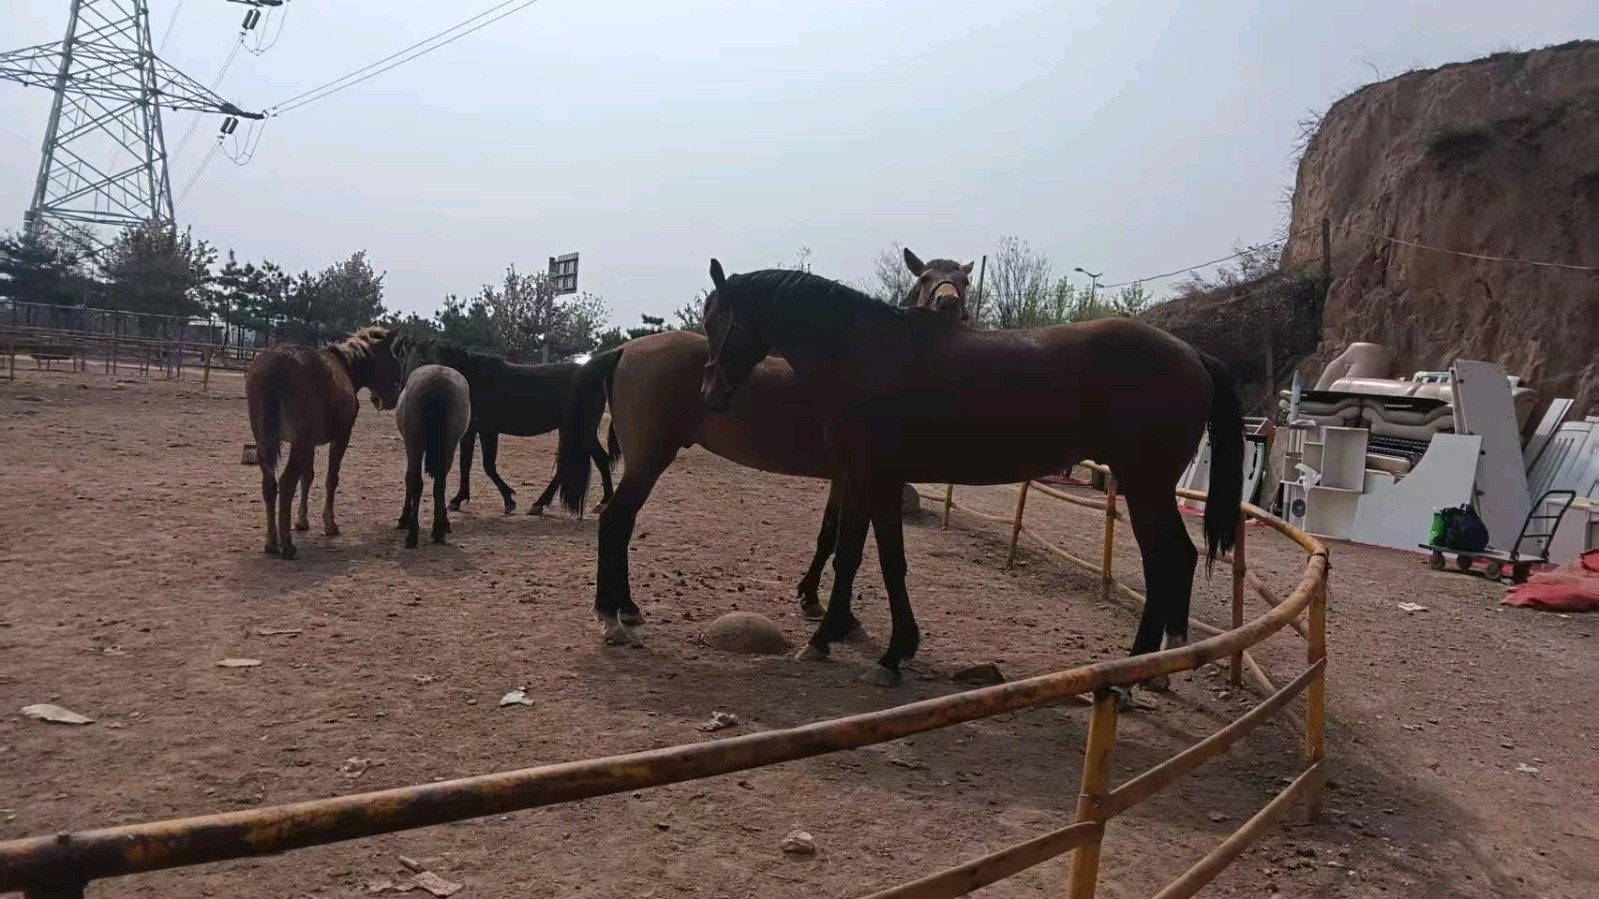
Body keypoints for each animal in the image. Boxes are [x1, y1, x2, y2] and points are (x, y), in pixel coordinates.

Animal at [244, 325, 404, 560]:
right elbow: (331, 479)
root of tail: (275, 366)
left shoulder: (309, 444)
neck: (345, 366)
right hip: (297, 444)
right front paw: (330, 524)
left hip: (265, 442)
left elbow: (307, 478)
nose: (391, 400)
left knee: (270, 485)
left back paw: (272, 543)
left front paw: (302, 521)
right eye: (393, 359)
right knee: (286, 483)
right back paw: (287, 546)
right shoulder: (340, 438)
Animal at [392, 336, 617, 516]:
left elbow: (488, 466)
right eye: (405, 363)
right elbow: (466, 464)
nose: (410, 394)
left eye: (425, 362)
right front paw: (459, 499)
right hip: (573, 429)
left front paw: (508, 500)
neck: (472, 378)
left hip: (583, 430)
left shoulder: (488, 430)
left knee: (598, 459)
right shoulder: (471, 432)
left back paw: (598, 502)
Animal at [394, 363, 473, 547]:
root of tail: (437, 384)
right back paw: (437, 531)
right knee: (440, 483)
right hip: (448, 444)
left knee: (417, 482)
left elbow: (408, 478)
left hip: (415, 442)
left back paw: (415, 534)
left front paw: (404, 517)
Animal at [555, 249, 973, 645]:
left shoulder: (845, 478)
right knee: (614, 520)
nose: (948, 306)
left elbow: (831, 534)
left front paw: (816, 602)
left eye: (964, 281)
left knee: (624, 523)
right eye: (926, 278)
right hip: (648, 462)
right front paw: (832, 613)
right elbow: (842, 540)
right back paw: (611, 618)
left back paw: (627, 608)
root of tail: (625, 350)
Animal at [699, 260, 1244, 700]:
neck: (865, 354)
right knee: (1173, 560)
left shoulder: (879, 479)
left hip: (1144, 484)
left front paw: (893, 655)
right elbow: (849, 553)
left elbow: (889, 563)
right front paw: (826, 636)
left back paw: (1135, 675)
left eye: (717, 321)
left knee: (1169, 559)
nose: (710, 393)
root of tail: (1192, 353)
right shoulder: (855, 477)